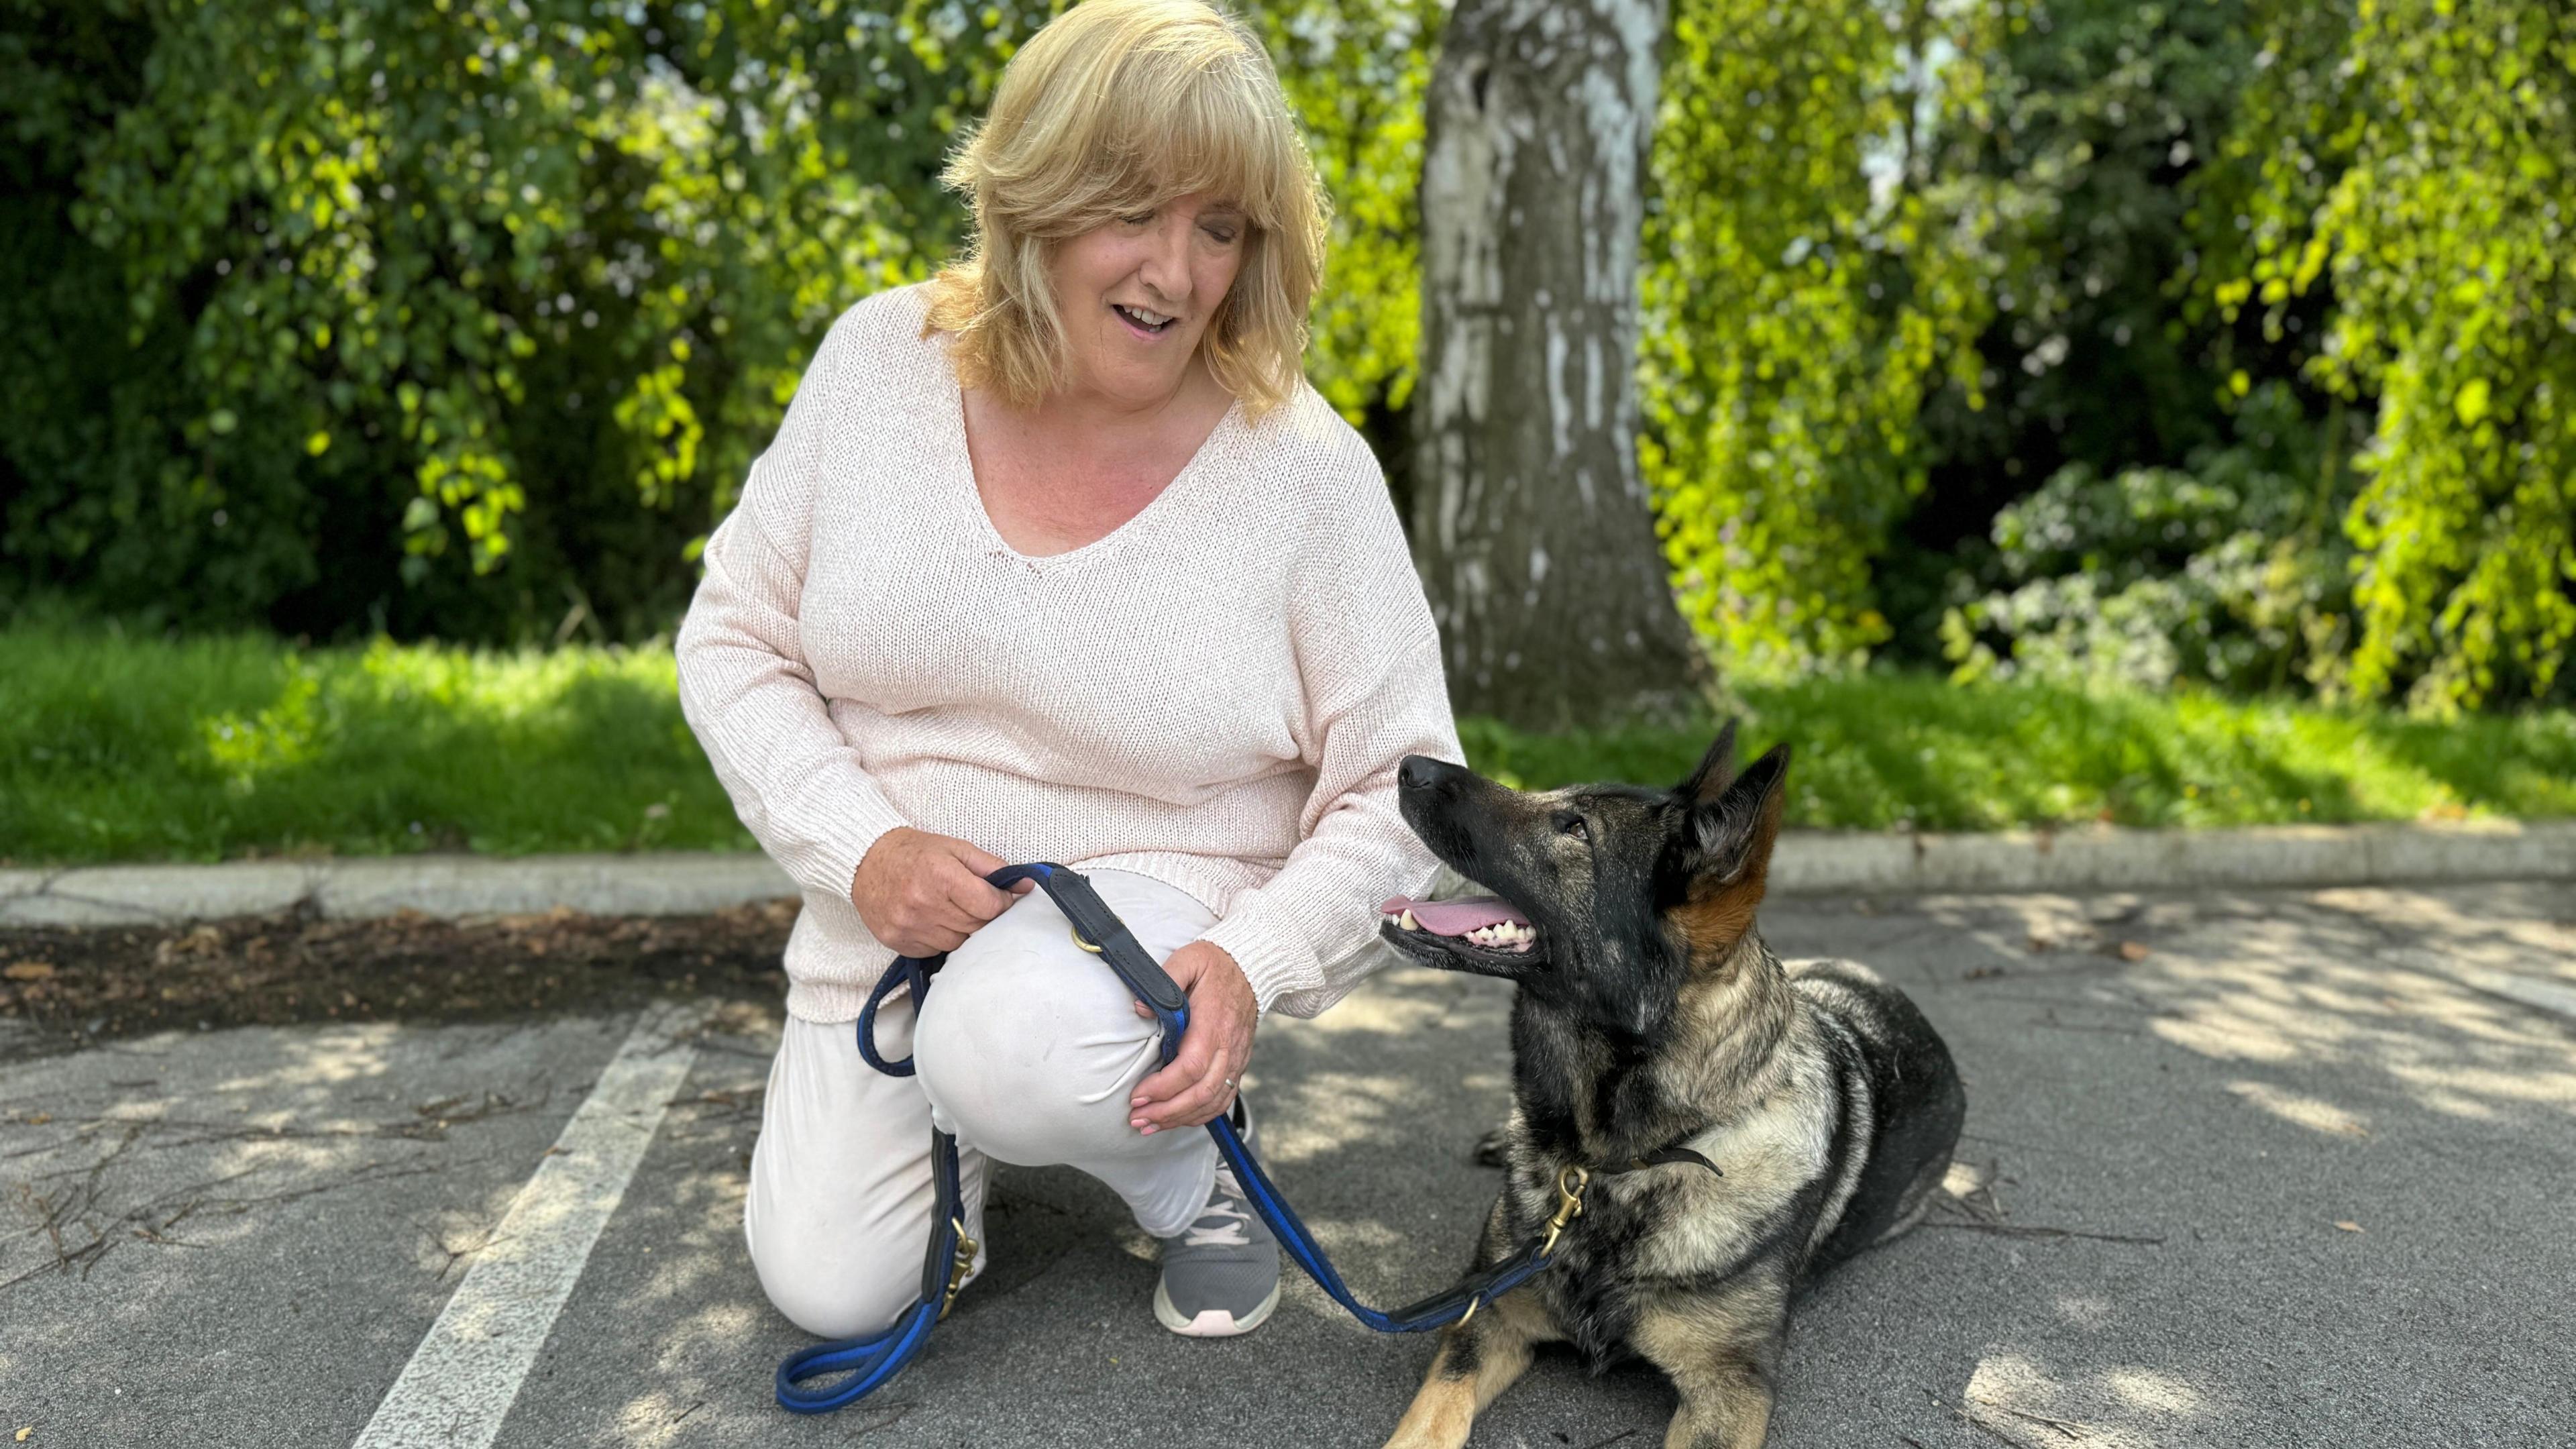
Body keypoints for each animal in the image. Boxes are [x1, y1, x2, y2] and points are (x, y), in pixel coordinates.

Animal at [1381, 722, 1957, 1444]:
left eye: (1576, 828)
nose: (1408, 765)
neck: (1617, 1163)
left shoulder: (1728, 1391)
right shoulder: (1486, 1319)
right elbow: (1427, 1422)